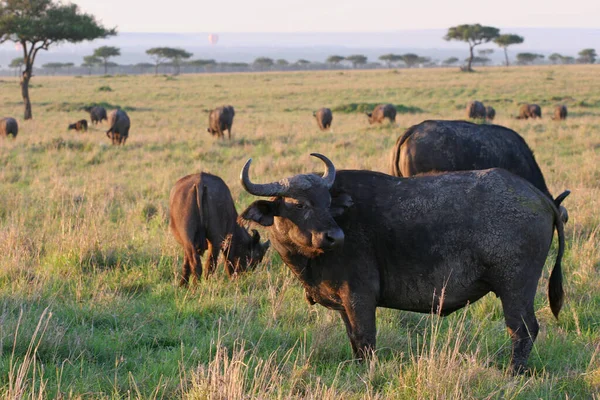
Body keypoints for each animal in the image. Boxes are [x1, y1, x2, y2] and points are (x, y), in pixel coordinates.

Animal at [240, 154, 568, 376]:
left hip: (516, 289)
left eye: (326, 202)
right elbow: (353, 340)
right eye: (298, 204)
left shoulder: (360, 298)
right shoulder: (345, 305)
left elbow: (365, 339)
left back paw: (514, 373)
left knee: (523, 330)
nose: (335, 236)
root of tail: (542, 198)